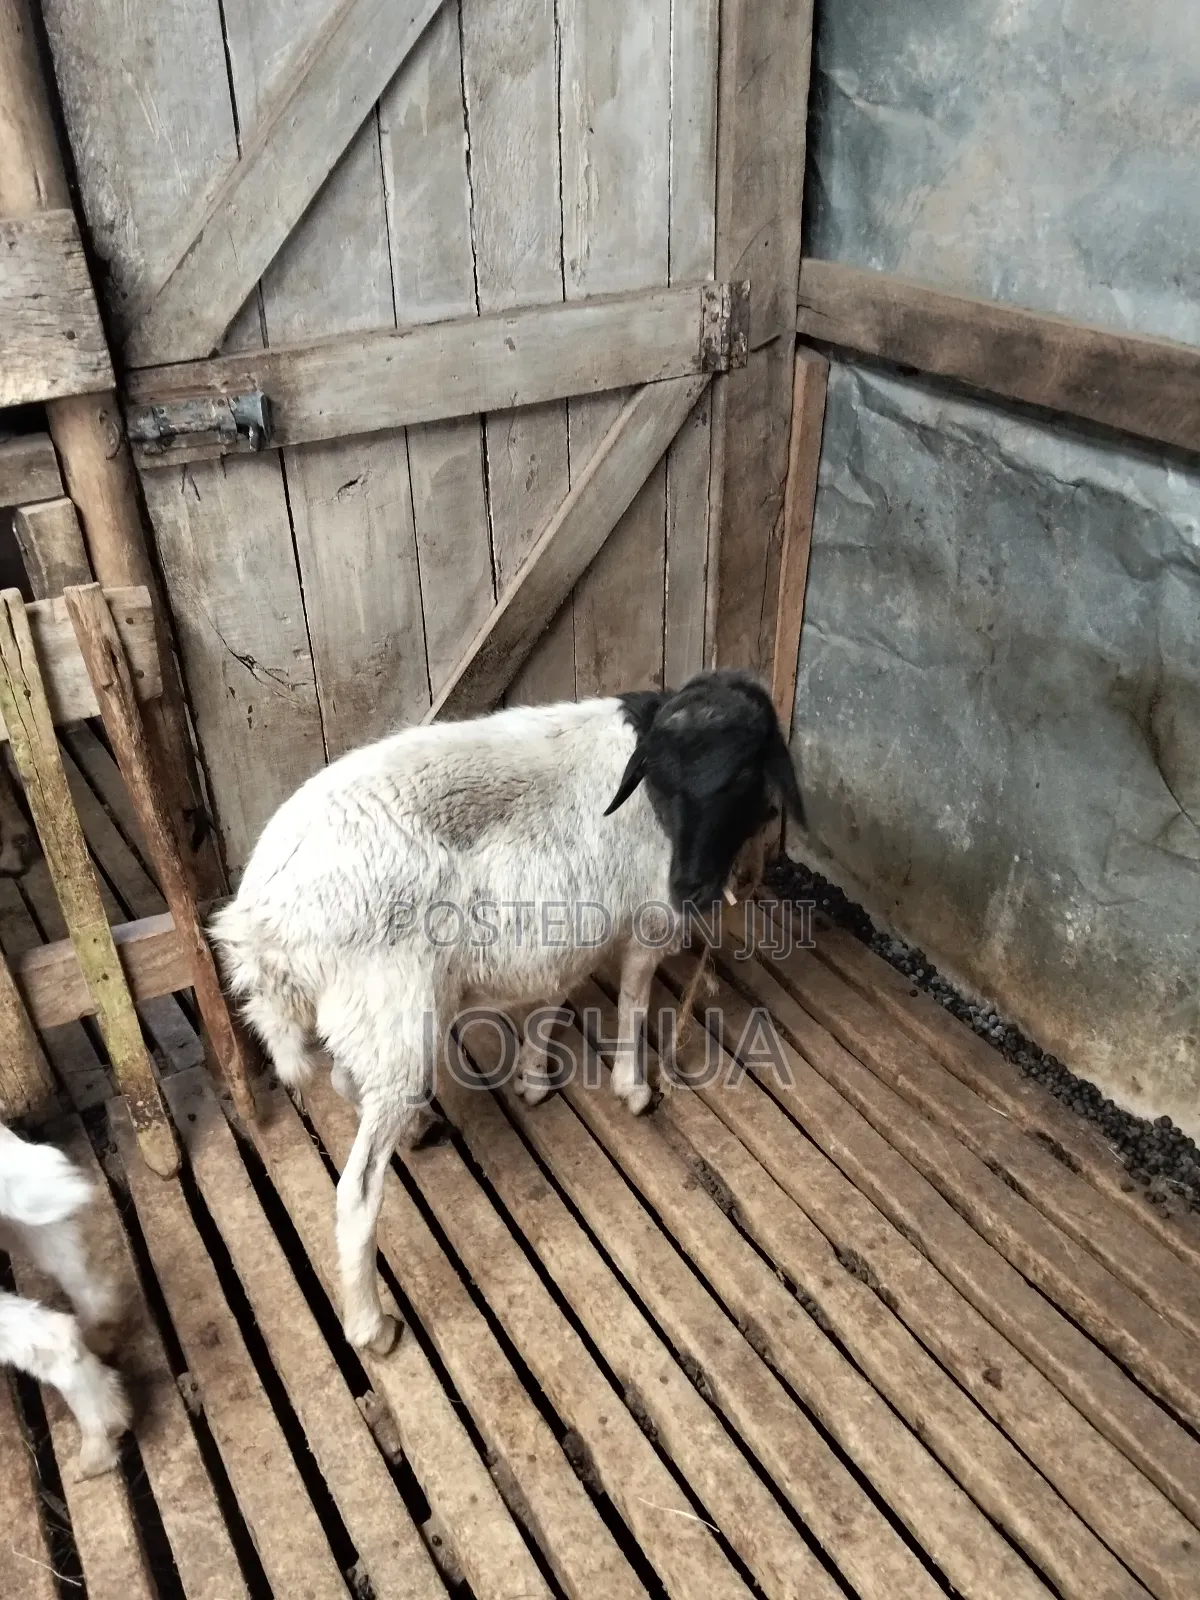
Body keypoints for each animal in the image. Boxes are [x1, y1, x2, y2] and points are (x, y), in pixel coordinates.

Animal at [211, 668, 805, 1354]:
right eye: (662, 776)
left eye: (744, 772)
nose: (693, 888)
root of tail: (260, 926)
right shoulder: (644, 922)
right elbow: (632, 1000)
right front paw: (633, 1088)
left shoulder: (567, 927)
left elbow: (551, 999)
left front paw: (533, 1078)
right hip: (395, 1007)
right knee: (357, 1192)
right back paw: (371, 1326)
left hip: (372, 1013)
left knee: (347, 1080)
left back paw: (415, 1129)